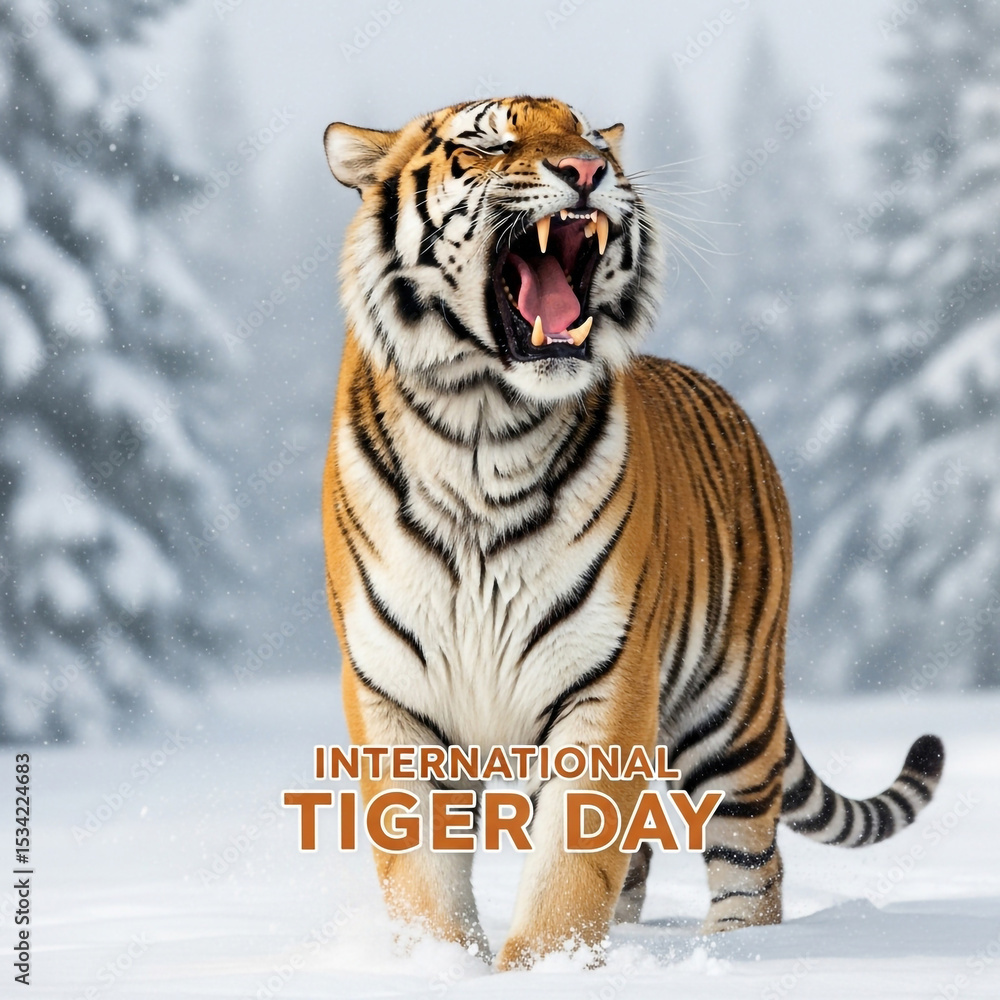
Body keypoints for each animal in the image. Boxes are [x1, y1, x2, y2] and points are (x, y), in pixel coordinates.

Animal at [320, 95, 945, 971]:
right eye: (487, 143)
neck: (482, 427)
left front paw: (540, 972)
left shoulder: (606, 682)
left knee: (752, 866)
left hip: (733, 712)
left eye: (586, 135)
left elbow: (567, 873)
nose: (587, 169)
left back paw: (739, 958)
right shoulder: (394, 696)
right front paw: (440, 966)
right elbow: (424, 879)